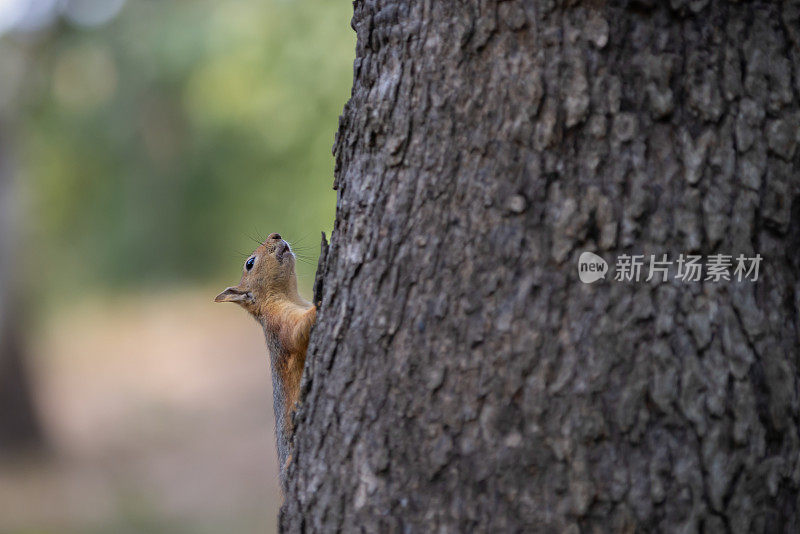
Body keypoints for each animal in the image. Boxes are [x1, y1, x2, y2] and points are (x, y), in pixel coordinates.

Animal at [216, 233, 316, 482]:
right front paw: (319, 305)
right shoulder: (279, 325)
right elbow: (297, 333)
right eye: (250, 263)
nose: (275, 235)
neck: (291, 296)